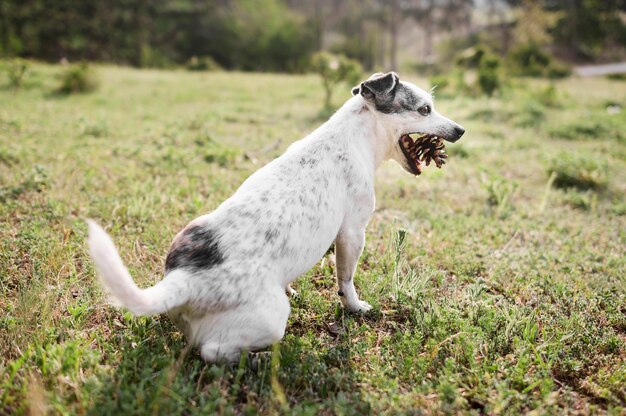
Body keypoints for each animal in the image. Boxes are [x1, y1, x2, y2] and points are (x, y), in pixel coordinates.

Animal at [90, 73, 466, 362]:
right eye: (425, 109)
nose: (460, 130)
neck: (355, 134)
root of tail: (183, 279)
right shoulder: (352, 233)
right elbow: (346, 280)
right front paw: (355, 307)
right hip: (271, 319)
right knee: (212, 352)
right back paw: (258, 360)